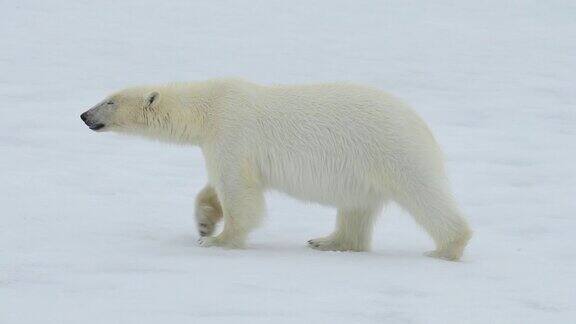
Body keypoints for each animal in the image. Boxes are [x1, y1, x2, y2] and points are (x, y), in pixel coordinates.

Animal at [83, 78, 474, 260]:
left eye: (109, 101)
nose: (85, 115)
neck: (207, 107)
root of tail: (422, 124)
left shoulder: (232, 130)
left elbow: (239, 191)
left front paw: (217, 240)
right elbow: (217, 185)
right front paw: (205, 222)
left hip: (392, 150)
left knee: (423, 195)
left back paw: (445, 247)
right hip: (364, 168)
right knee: (356, 209)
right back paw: (328, 241)